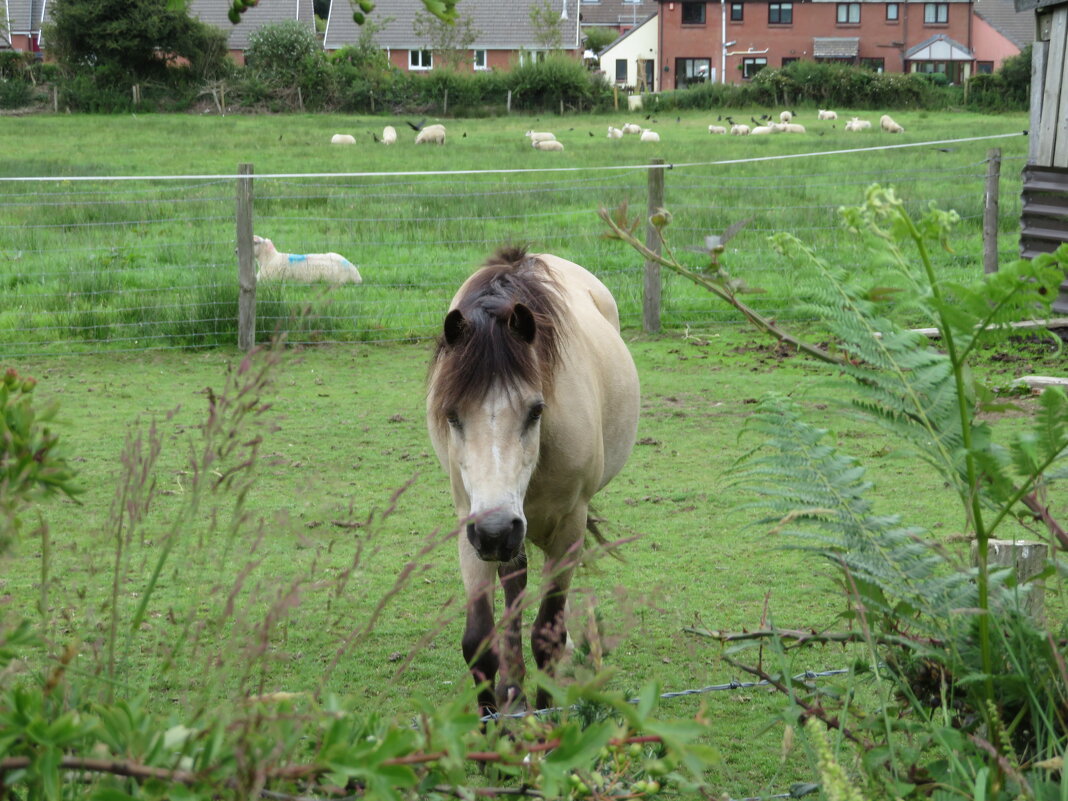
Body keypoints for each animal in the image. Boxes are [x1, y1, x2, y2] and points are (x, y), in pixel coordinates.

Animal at [425, 246, 636, 713]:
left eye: (536, 411)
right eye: (451, 415)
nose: (495, 530)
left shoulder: (569, 527)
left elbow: (548, 636)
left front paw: (547, 720)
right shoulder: (469, 523)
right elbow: (478, 641)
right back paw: (513, 685)